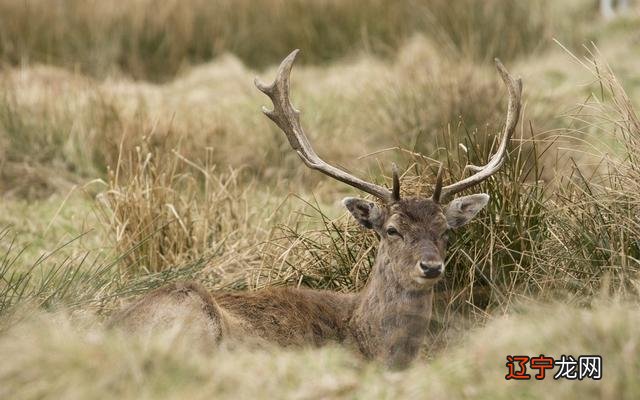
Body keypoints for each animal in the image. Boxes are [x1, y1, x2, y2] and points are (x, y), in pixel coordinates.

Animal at [109, 50, 520, 368]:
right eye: (392, 230)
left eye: (446, 231)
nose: (431, 266)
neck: (366, 339)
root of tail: (109, 331)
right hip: (192, 315)